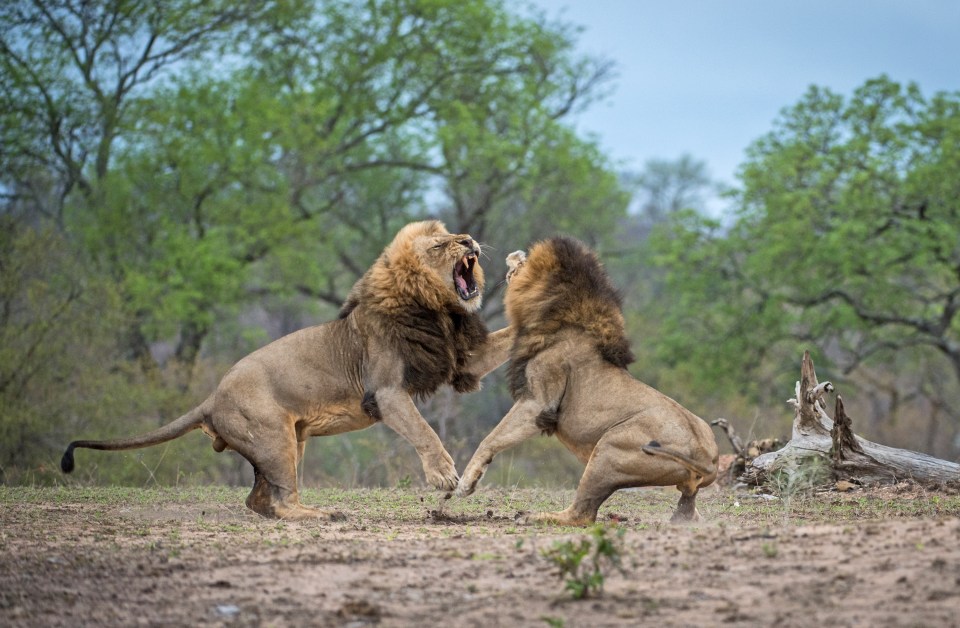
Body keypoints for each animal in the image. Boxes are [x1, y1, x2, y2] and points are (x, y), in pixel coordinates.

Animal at [61, 221, 512, 520]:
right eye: (440, 244)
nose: (469, 240)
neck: (440, 312)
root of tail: (211, 397)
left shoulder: (461, 358)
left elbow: (508, 339)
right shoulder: (385, 391)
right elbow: (424, 430)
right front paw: (444, 476)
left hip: (291, 441)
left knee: (259, 501)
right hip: (275, 438)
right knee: (279, 502)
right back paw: (322, 515)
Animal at [454, 238, 716, 524]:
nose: (511, 261)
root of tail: (706, 455)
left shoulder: (538, 402)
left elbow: (491, 438)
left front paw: (466, 483)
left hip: (610, 449)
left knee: (582, 514)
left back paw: (531, 515)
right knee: (688, 512)